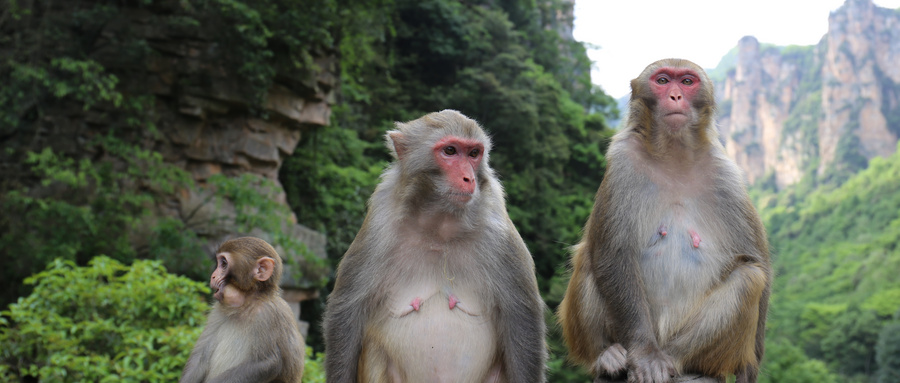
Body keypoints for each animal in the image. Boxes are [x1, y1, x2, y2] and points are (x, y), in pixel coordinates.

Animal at [179, 237, 306, 383]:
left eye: (223, 263)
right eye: (219, 263)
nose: (213, 275)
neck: (245, 305)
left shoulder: (268, 314)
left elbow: (268, 362)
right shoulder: (218, 310)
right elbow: (201, 357)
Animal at [324, 110, 548, 383]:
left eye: (474, 153)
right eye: (450, 151)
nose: (469, 178)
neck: (440, 225)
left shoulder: (498, 227)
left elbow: (520, 315)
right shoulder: (380, 219)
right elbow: (347, 309)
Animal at [556, 59, 772, 383]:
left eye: (687, 81)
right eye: (662, 81)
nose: (675, 96)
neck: (674, 155)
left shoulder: (727, 175)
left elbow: (757, 260)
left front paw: (750, 369)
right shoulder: (623, 163)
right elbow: (613, 253)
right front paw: (645, 356)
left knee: (749, 277)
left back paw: (675, 357)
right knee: (589, 255)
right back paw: (607, 355)